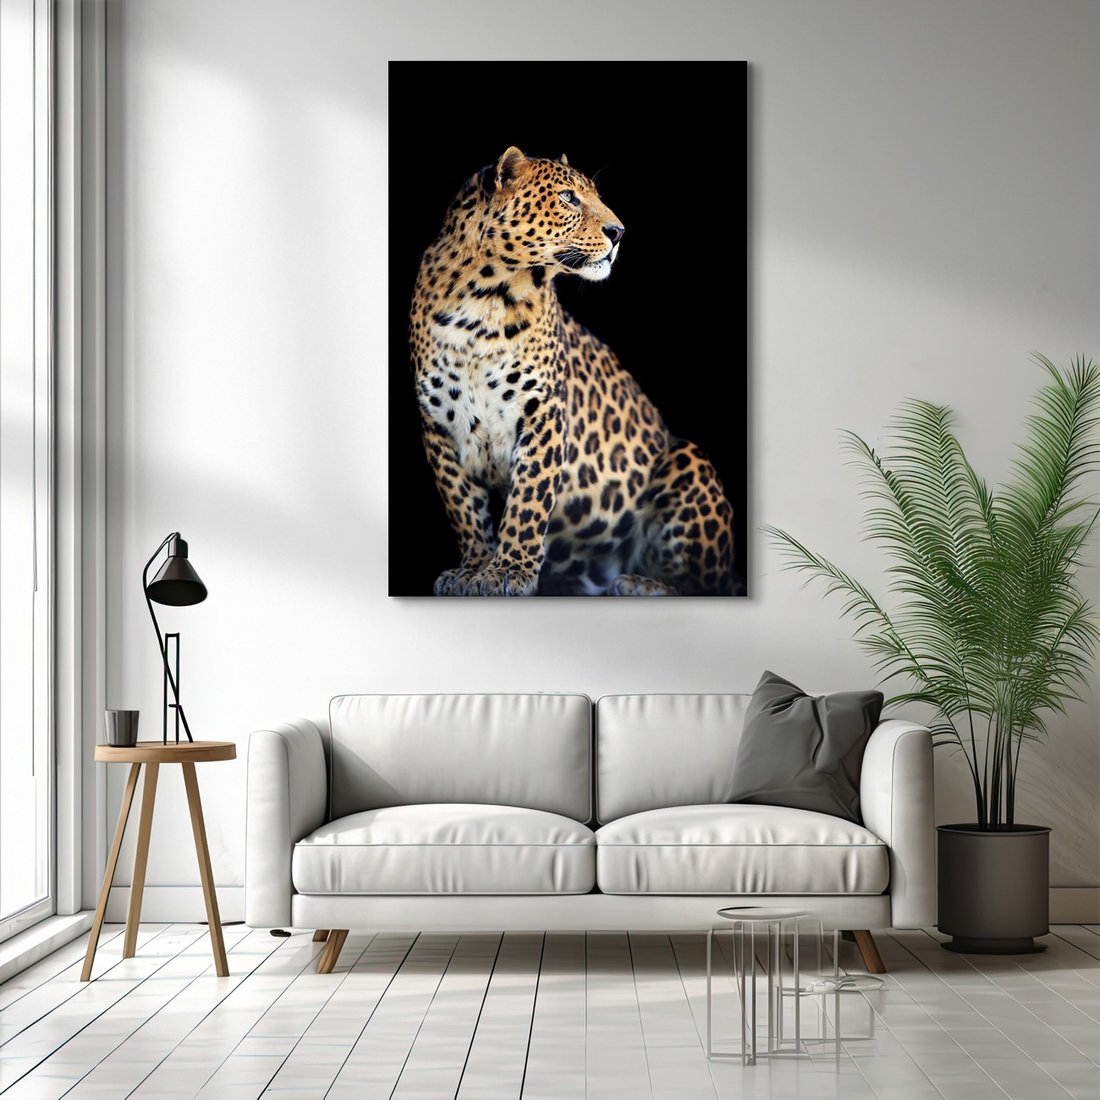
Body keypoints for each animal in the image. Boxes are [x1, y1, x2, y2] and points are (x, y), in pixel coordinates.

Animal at [409, 146, 740, 596]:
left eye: (596, 196)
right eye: (568, 197)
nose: (619, 232)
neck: (484, 301)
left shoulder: (542, 413)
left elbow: (528, 502)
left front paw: (508, 571)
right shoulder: (439, 425)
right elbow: (464, 507)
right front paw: (473, 568)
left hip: (687, 458)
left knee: (707, 583)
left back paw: (642, 583)